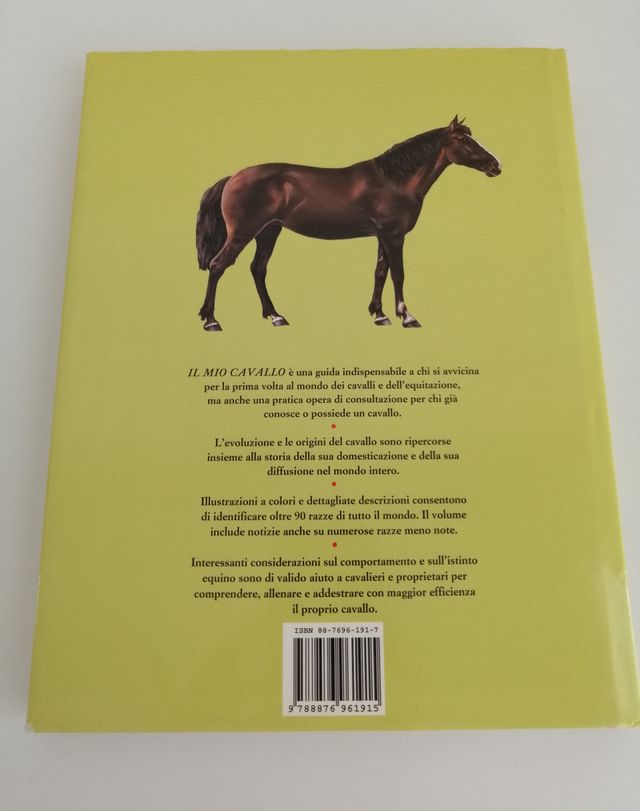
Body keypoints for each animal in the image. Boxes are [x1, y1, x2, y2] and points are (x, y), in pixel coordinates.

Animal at [195, 116, 500, 331]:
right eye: (462, 139)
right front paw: (406, 316)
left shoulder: (383, 235)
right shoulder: (394, 235)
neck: (394, 180)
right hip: (243, 233)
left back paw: (275, 316)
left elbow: (380, 272)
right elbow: (398, 273)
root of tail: (232, 177)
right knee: (218, 265)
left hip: (269, 231)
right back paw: (211, 321)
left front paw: (379, 315)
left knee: (258, 269)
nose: (496, 165)